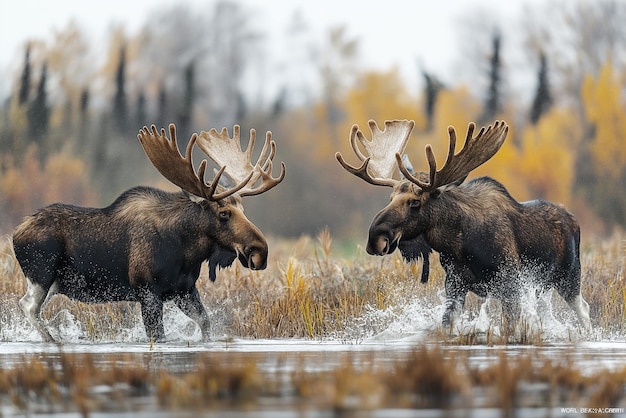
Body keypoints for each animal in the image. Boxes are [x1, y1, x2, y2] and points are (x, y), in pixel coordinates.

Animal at [12, 122, 286, 342]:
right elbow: (158, 335)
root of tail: (15, 233)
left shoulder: (184, 290)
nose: (260, 251)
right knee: (27, 306)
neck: (187, 251)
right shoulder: (147, 291)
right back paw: (53, 339)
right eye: (224, 213)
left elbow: (205, 323)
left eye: (242, 208)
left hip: (54, 284)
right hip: (41, 275)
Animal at [334, 119, 588, 332]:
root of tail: (574, 220)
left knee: (583, 310)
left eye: (415, 201)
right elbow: (447, 323)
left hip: (569, 277)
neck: (459, 244)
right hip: (542, 287)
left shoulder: (510, 284)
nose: (375, 238)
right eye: (390, 198)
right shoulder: (454, 284)